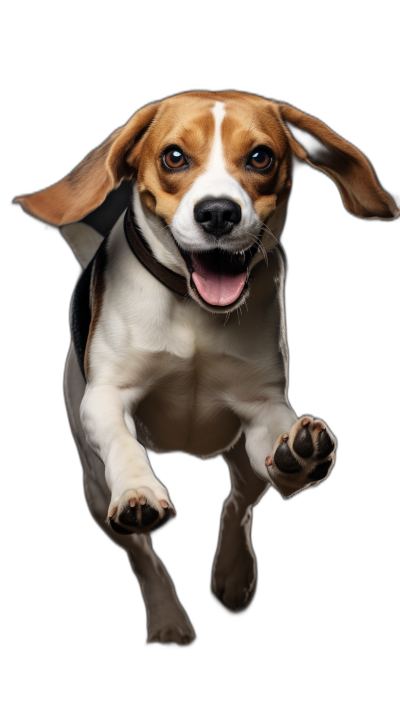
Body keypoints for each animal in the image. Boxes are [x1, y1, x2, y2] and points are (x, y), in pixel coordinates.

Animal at [14, 90, 396, 644]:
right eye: (174, 157)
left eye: (260, 157)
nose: (218, 213)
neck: (195, 310)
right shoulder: (105, 400)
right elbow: (124, 445)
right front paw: (139, 488)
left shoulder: (262, 408)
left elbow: (278, 441)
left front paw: (299, 455)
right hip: (93, 487)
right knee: (143, 558)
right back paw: (168, 617)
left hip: (241, 458)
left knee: (239, 504)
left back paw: (234, 573)